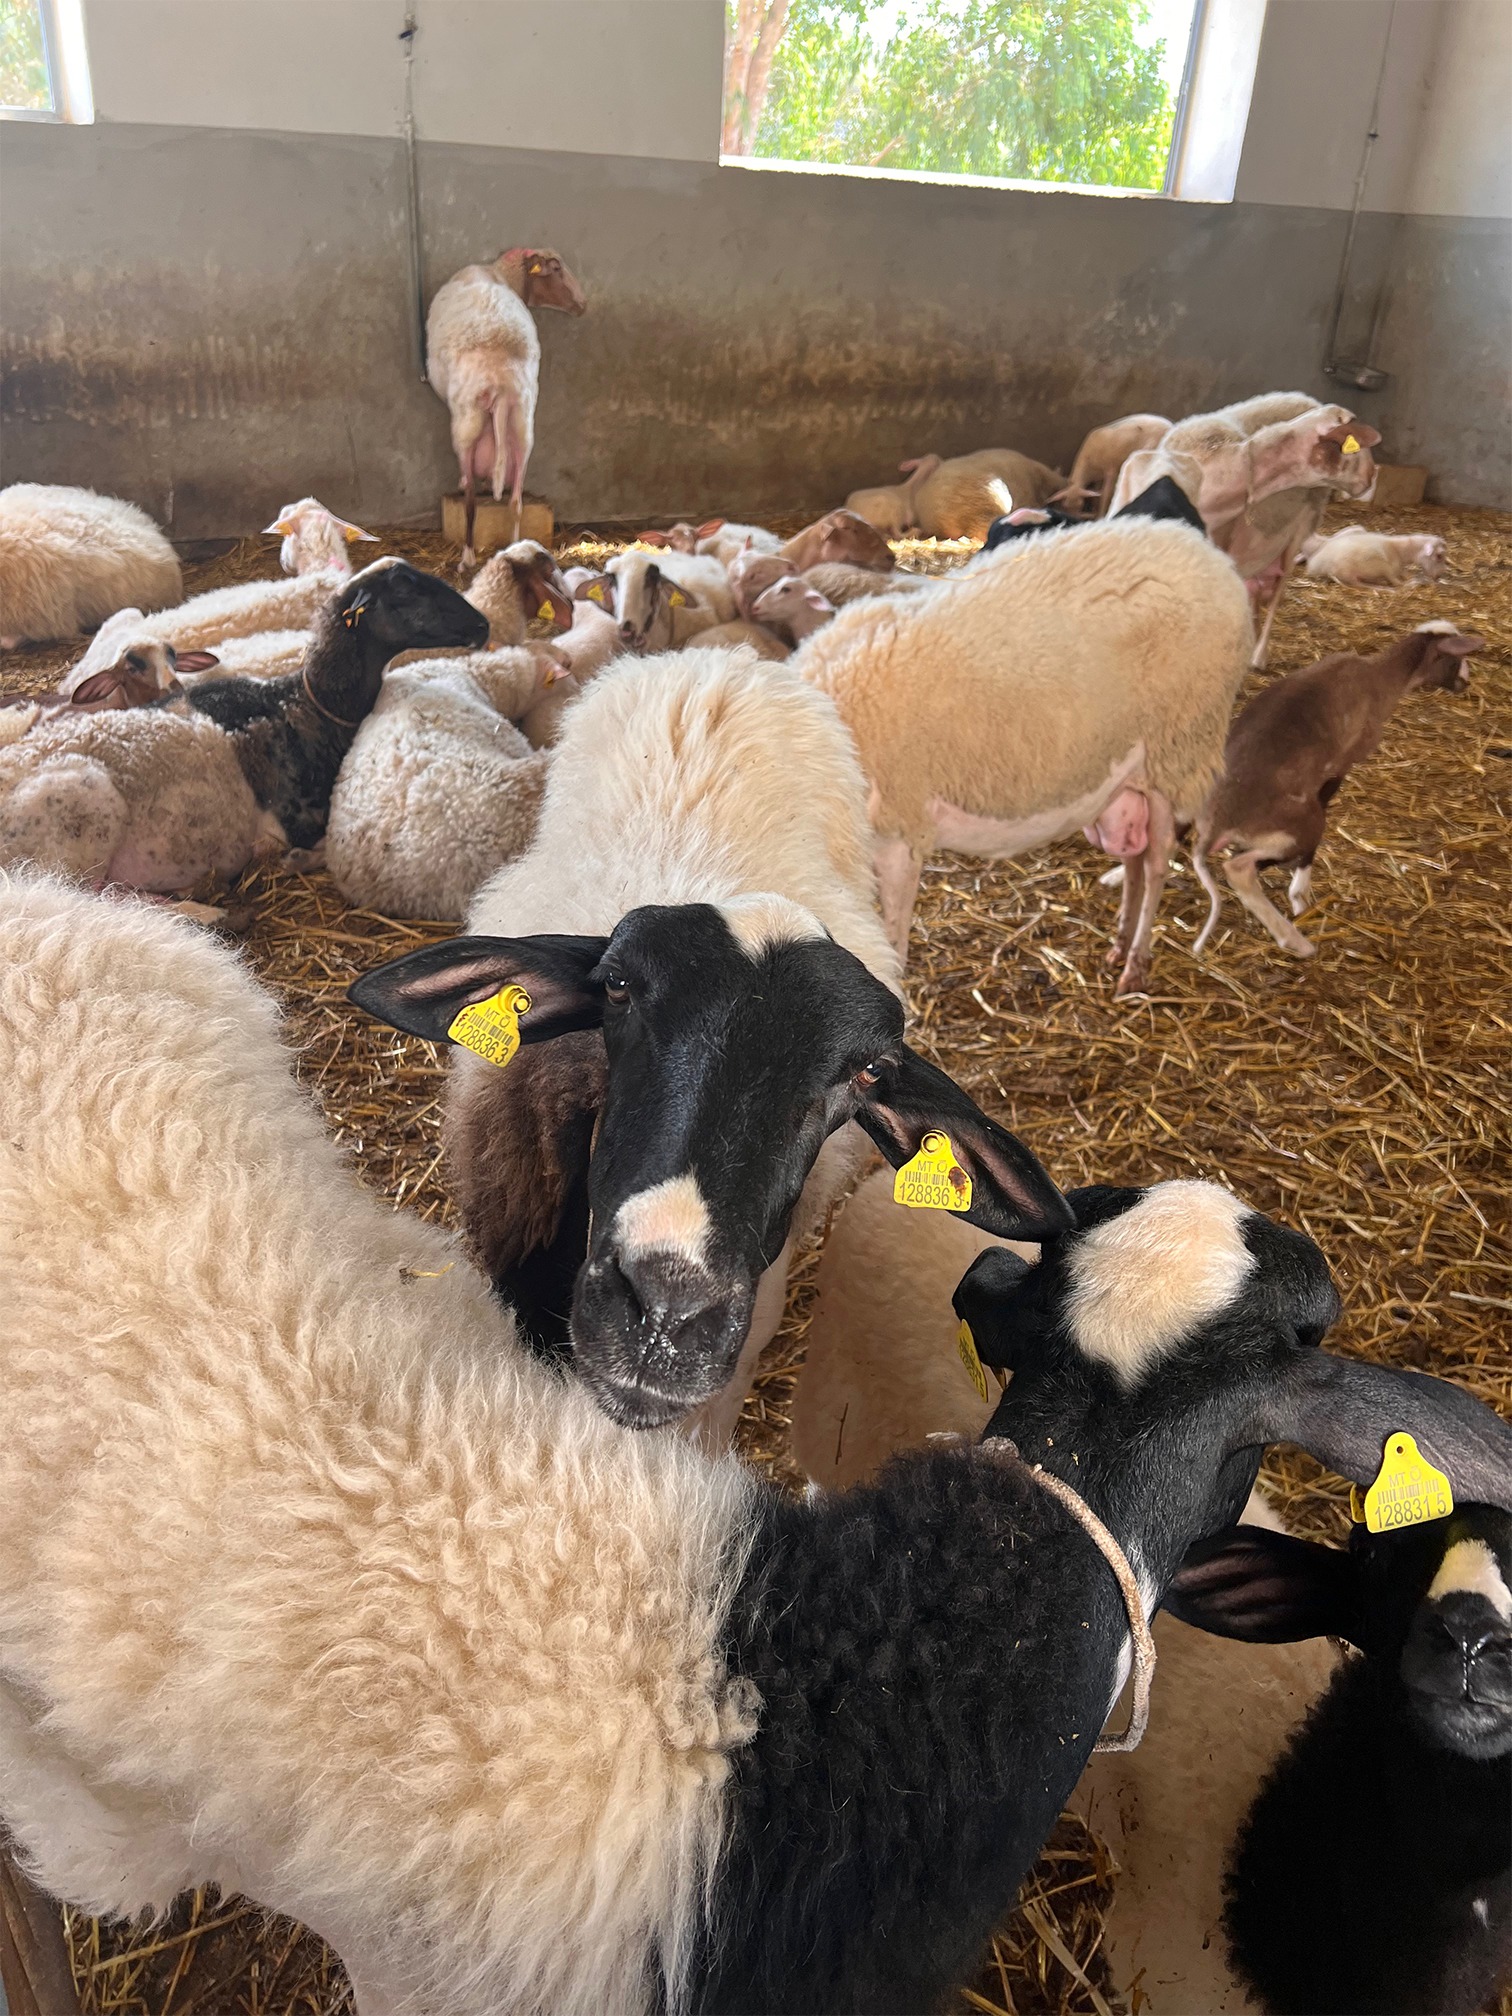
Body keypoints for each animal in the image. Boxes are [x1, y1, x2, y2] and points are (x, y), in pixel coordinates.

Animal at [0, 561, 488, 894]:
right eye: (404, 589)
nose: (482, 625)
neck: (303, 706)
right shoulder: (294, 820)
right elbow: (317, 852)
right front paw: (295, 860)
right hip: (76, 825)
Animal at [426, 247, 587, 565]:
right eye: (557, 269)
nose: (582, 305)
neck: (499, 273)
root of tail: (501, 381)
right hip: (523, 424)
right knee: (515, 500)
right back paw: (515, 547)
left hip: (467, 419)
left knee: (471, 498)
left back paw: (467, 557)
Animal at [793, 515, 1253, 994]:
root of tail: (1208, 553)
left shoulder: (899, 834)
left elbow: (893, 941)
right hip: (1130, 776)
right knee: (1135, 861)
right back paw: (1121, 941)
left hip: (1178, 749)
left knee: (1159, 861)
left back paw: (1136, 963)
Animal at [1192, 623, 1484, 960]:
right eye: (1456, 658)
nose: (1467, 682)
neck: (1382, 675)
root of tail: (1217, 822)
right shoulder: (1341, 763)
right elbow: (1324, 803)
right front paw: (1299, 894)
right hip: (1300, 824)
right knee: (1240, 868)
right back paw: (1295, 940)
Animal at [1300, 525, 1447, 586]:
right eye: (1439, 556)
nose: (1438, 577)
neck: (1399, 551)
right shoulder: (1391, 570)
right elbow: (1398, 581)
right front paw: (1413, 580)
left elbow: (1405, 573)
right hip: (1378, 566)